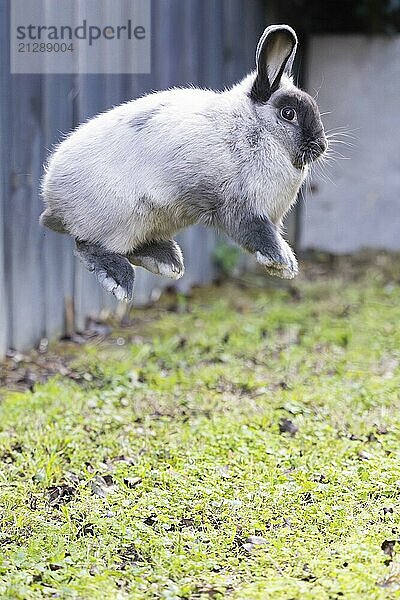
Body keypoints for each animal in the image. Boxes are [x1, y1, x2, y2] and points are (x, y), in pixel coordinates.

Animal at [41, 24, 328, 302]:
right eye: (288, 114)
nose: (321, 146)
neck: (256, 128)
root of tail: (53, 201)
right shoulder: (242, 208)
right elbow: (257, 233)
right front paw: (283, 263)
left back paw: (167, 262)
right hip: (119, 217)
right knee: (88, 244)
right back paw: (119, 279)